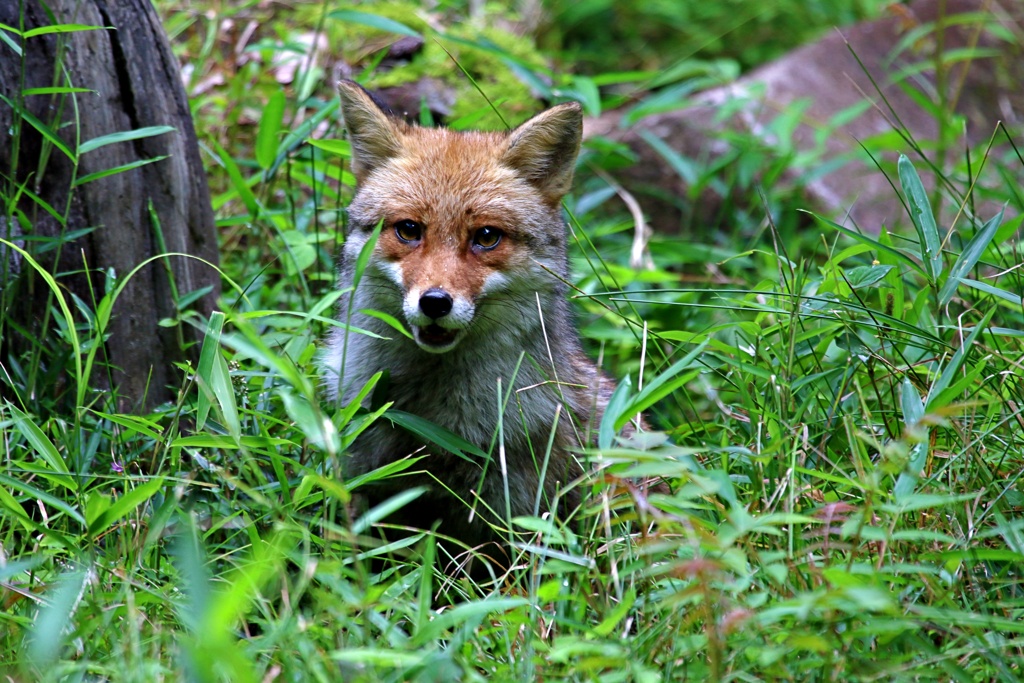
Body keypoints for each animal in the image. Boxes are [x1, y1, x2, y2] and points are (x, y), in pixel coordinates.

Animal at [323, 80, 626, 565]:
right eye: (409, 230)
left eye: (486, 237)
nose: (435, 302)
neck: (432, 419)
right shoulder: (364, 477)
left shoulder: (514, 516)